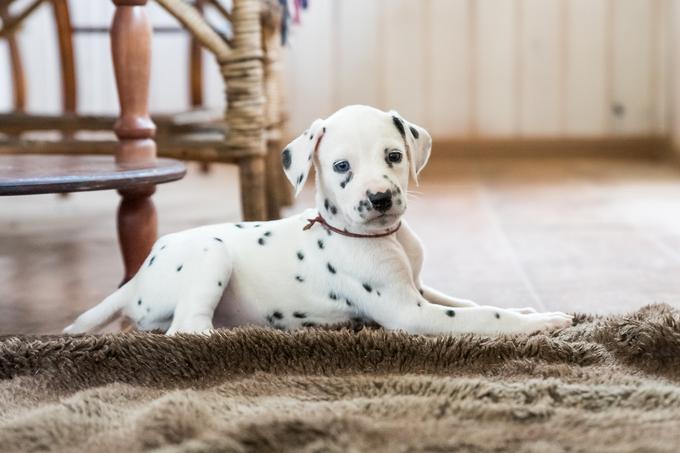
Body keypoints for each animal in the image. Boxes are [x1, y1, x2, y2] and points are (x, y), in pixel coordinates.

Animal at [65, 103, 572, 336]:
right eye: (342, 166)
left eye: (393, 156)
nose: (380, 198)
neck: (381, 236)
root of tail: (137, 276)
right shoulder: (408, 311)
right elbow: (482, 315)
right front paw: (544, 321)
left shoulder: (418, 288)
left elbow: (467, 300)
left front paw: (527, 310)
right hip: (211, 254)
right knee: (186, 327)